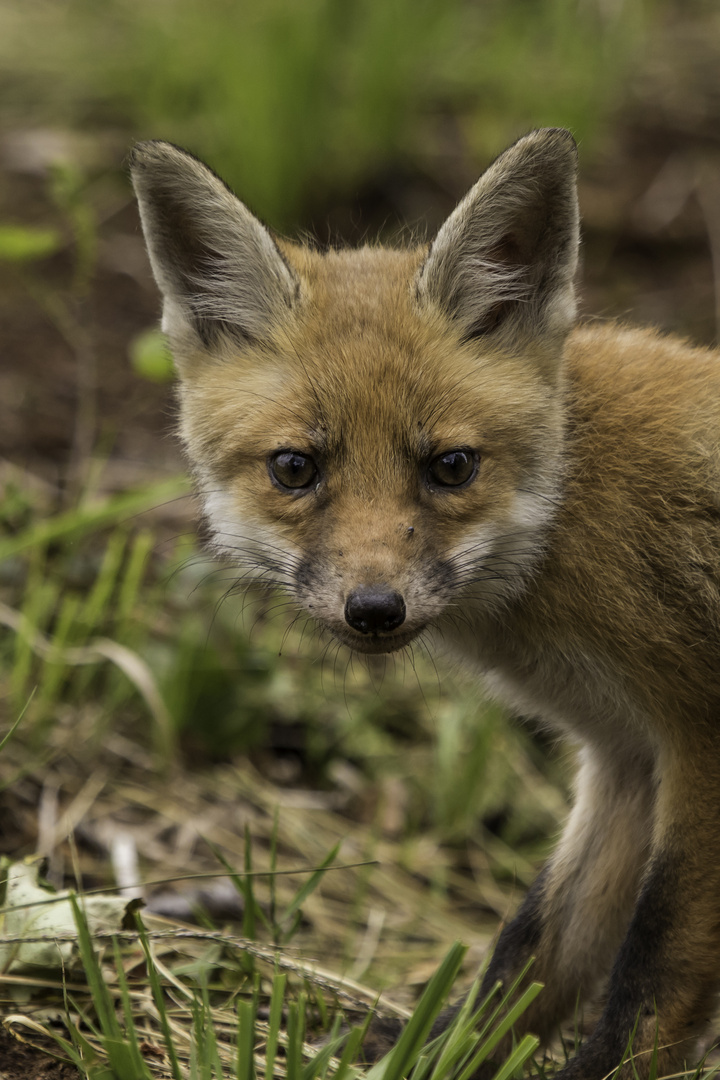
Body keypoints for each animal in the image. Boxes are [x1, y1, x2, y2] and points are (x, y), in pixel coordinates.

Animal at [131, 128, 720, 1080]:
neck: (573, 507)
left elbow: (655, 961)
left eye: (451, 466)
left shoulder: (698, 736)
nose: (375, 609)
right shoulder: (626, 755)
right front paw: (430, 1053)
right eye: (295, 468)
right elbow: (536, 949)